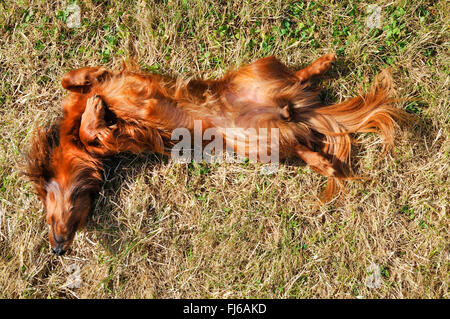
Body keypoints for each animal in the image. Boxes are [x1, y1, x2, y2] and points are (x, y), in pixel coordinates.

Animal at [23, 54, 404, 255]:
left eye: (48, 214)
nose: (56, 249)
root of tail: (289, 108)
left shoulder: (112, 90)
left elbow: (74, 84)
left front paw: (93, 100)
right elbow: (95, 126)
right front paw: (97, 115)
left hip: (258, 70)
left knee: (296, 76)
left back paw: (321, 64)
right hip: (261, 143)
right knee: (300, 145)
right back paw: (325, 163)